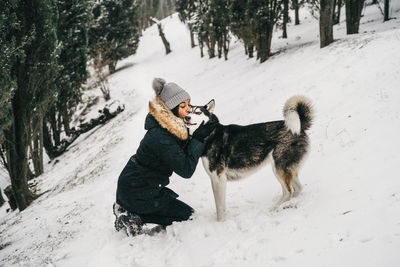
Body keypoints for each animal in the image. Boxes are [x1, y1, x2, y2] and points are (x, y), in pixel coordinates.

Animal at [186, 96, 314, 222]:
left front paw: (220, 223)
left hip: (279, 169)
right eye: (189, 111)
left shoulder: (218, 179)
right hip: (286, 169)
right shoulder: (218, 180)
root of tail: (300, 127)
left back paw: (275, 208)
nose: (187, 117)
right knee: (297, 189)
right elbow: (222, 206)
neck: (210, 132)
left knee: (288, 192)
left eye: (198, 112)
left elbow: (219, 208)